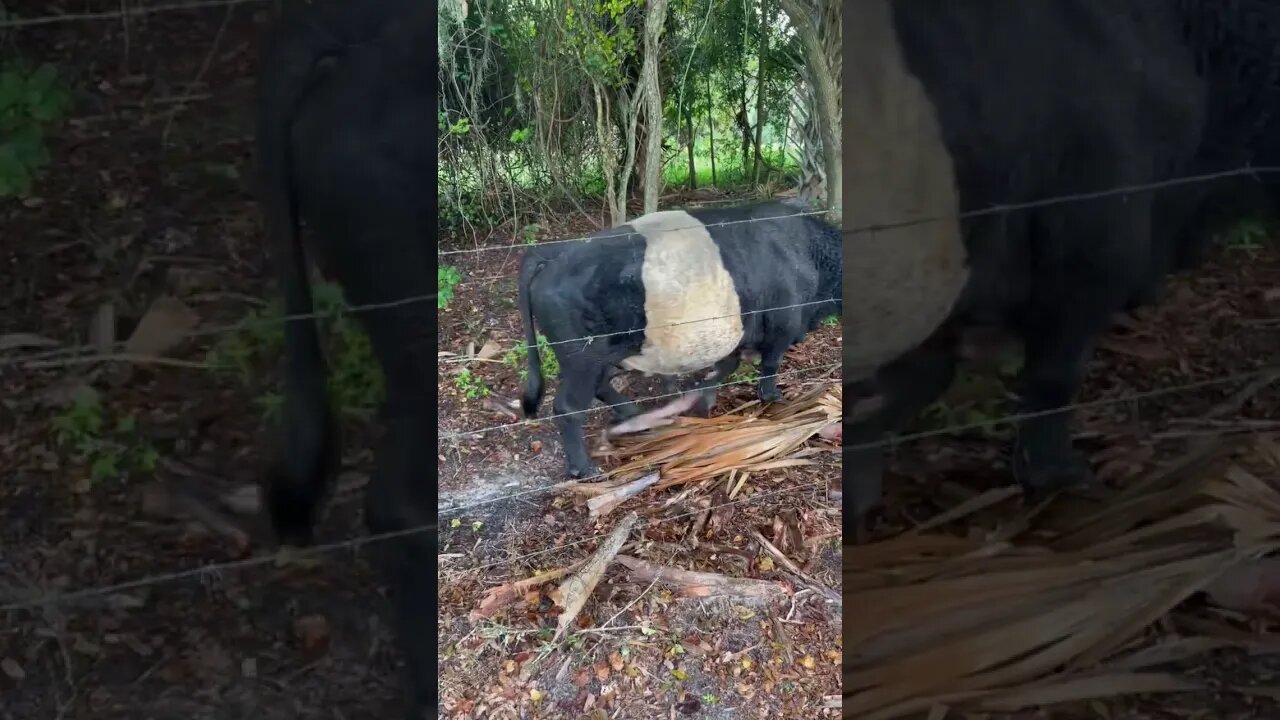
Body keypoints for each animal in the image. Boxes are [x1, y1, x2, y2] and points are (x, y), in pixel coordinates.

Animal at [514, 198, 844, 479]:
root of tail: (553, 253)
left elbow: (727, 366)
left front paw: (702, 399)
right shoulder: (784, 323)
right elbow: (770, 364)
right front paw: (772, 397)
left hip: (602, 354)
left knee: (601, 386)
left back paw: (632, 413)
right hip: (583, 356)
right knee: (568, 408)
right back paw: (583, 469)